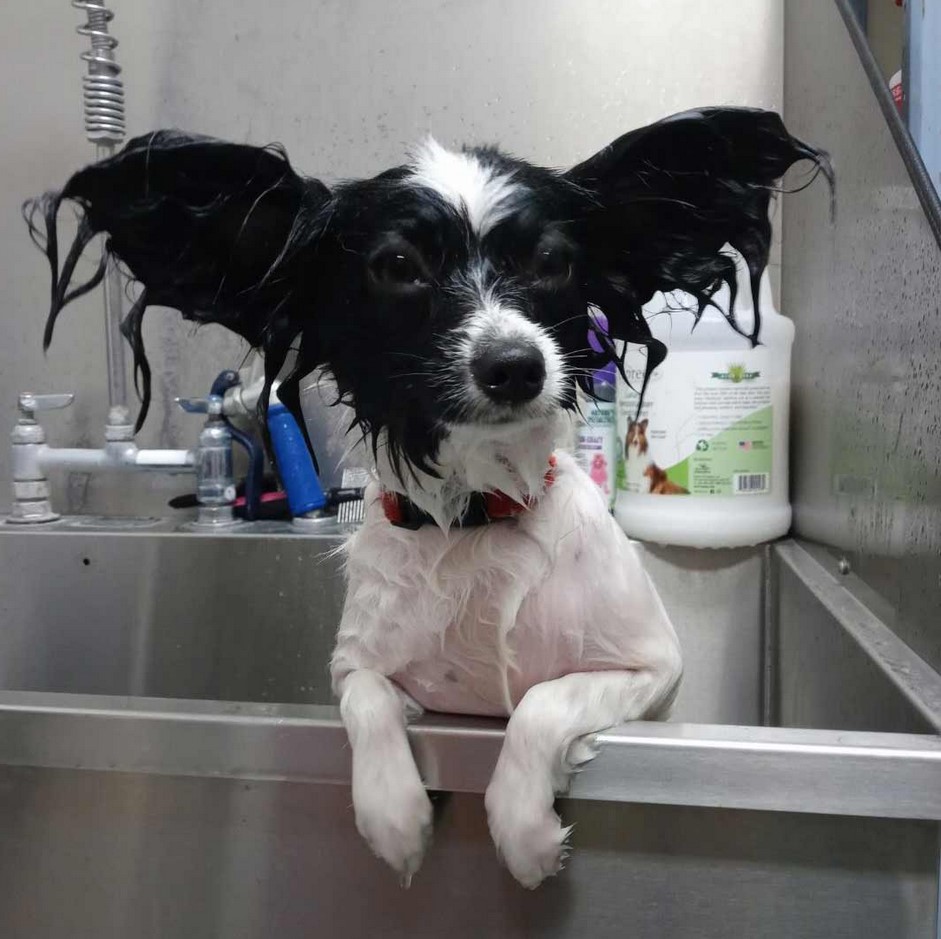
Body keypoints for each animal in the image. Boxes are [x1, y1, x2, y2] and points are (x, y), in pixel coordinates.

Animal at [25, 108, 828, 888]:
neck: (472, 514)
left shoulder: (651, 670)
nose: (515, 365)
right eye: (398, 267)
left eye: (551, 262)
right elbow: (368, 699)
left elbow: (542, 702)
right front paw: (393, 816)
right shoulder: (353, 665)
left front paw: (524, 831)